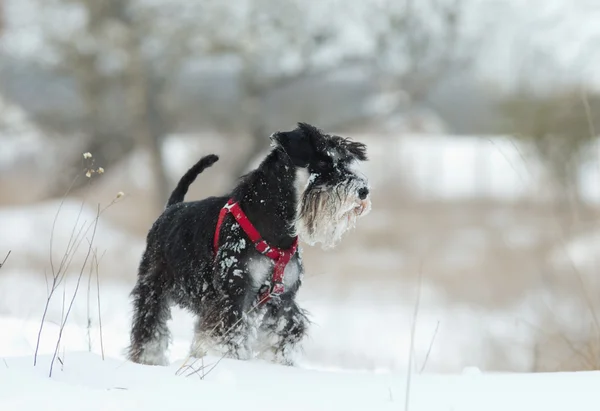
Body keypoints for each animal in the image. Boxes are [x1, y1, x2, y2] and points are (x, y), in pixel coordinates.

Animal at [126, 122, 370, 366]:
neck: (275, 228)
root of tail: (170, 208)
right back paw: (149, 359)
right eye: (322, 162)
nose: (363, 191)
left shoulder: (283, 300)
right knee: (149, 326)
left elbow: (281, 335)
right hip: (153, 287)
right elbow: (228, 338)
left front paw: (279, 363)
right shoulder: (235, 293)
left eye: (344, 162)